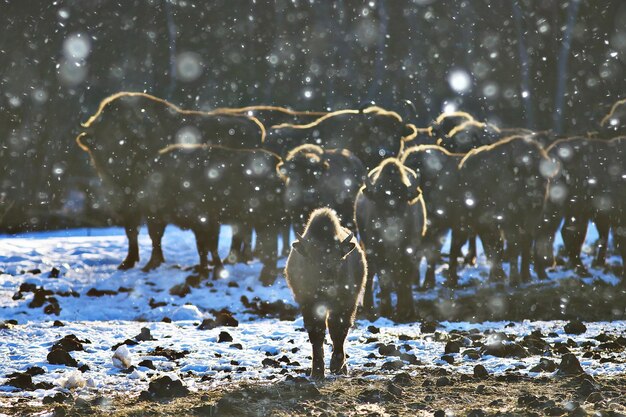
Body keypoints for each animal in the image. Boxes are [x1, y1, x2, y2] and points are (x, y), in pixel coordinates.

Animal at [284, 206, 366, 378]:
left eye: (339, 258)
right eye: (311, 259)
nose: (327, 283)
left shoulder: (345, 302)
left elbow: (338, 330)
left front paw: (336, 366)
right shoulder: (309, 304)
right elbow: (317, 333)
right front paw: (317, 372)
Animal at [354, 158, 426, 320]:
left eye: (403, 199)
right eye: (379, 199)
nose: (392, 227)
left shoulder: (409, 251)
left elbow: (404, 278)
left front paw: (406, 310)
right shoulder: (377, 251)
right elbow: (384, 278)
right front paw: (387, 311)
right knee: (370, 273)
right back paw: (369, 307)